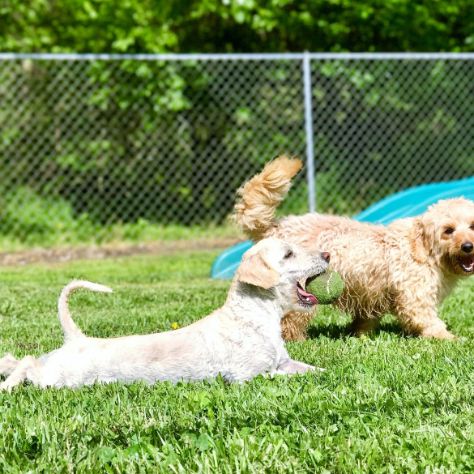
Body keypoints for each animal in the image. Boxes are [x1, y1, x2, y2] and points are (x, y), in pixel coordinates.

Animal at [0, 237, 330, 388]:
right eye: (288, 254)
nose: (328, 254)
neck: (254, 317)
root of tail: (76, 339)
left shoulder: (286, 362)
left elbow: (313, 370)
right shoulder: (245, 376)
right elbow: (274, 376)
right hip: (58, 377)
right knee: (27, 363)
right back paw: (9, 385)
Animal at [233, 156, 474, 340]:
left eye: (472, 225)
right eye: (448, 230)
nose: (468, 246)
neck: (424, 249)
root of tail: (277, 226)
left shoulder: (371, 296)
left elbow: (365, 321)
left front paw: (360, 336)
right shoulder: (415, 297)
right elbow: (428, 321)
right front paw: (451, 339)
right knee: (289, 320)